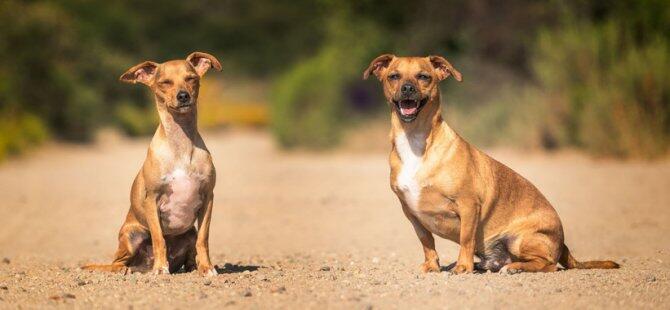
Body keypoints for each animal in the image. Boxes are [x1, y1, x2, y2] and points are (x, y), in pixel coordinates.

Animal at [82, 51, 222, 276]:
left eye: (191, 78)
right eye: (164, 82)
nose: (183, 96)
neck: (181, 145)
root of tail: (141, 265)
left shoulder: (208, 198)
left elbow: (204, 238)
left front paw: (207, 268)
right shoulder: (152, 200)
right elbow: (158, 238)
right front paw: (160, 269)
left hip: (188, 232)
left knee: (191, 249)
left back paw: (192, 267)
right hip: (131, 234)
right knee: (117, 262)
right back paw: (128, 270)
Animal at [364, 55, 624, 274]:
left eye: (423, 77)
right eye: (394, 76)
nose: (407, 88)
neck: (416, 139)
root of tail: (563, 243)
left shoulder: (468, 205)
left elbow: (466, 239)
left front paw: (463, 267)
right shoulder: (412, 213)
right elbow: (427, 241)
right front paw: (432, 266)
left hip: (519, 239)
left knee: (548, 264)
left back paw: (514, 267)